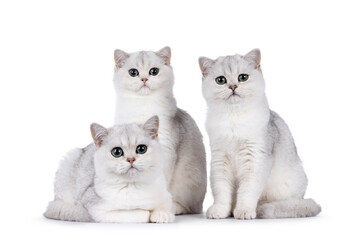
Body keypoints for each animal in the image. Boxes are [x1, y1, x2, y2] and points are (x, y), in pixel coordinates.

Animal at [44, 116, 174, 223]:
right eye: (117, 152)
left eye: (142, 149)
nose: (131, 159)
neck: (132, 185)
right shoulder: (99, 211)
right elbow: (137, 214)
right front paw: (147, 213)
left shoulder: (165, 194)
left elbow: (164, 205)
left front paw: (162, 214)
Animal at [200, 48, 320, 219]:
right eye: (221, 80)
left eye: (243, 77)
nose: (233, 87)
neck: (234, 118)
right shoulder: (220, 159)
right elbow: (221, 190)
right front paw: (220, 210)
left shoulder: (255, 159)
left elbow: (247, 191)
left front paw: (244, 211)